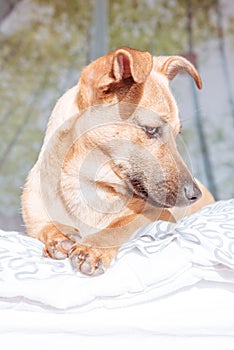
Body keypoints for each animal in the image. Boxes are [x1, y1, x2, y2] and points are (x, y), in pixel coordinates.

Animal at [22, 47, 214, 276]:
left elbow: (122, 224)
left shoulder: (162, 216)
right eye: (151, 129)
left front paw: (93, 247)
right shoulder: (35, 219)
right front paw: (59, 237)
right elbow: (45, 227)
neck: (86, 183)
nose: (195, 194)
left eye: (178, 134)